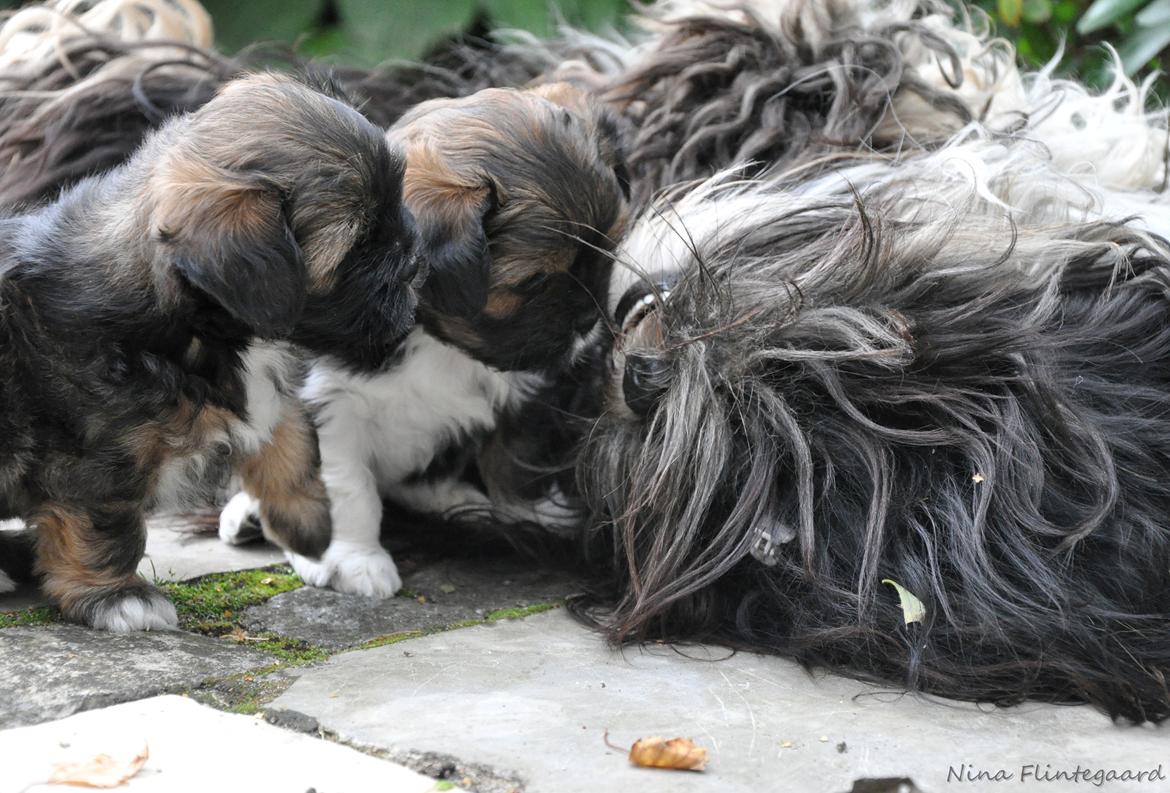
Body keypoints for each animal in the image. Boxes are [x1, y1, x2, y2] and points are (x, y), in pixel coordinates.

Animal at [0, 76, 421, 631]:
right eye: (359, 245)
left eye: (395, 204)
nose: (415, 257)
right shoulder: (94, 455)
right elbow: (103, 523)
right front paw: (118, 597)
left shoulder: (267, 388)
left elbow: (292, 440)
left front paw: (310, 526)